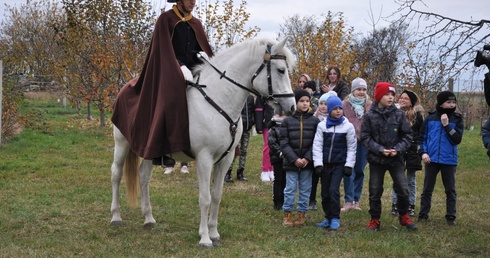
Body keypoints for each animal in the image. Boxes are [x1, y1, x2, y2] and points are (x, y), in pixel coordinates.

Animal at [110, 37, 294, 247]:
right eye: (281, 70)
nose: (292, 106)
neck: (219, 100)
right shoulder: (204, 158)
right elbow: (205, 198)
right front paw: (205, 238)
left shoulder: (226, 158)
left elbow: (216, 195)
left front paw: (214, 233)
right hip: (122, 143)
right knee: (116, 174)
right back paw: (116, 217)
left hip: (149, 148)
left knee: (143, 176)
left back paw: (149, 218)